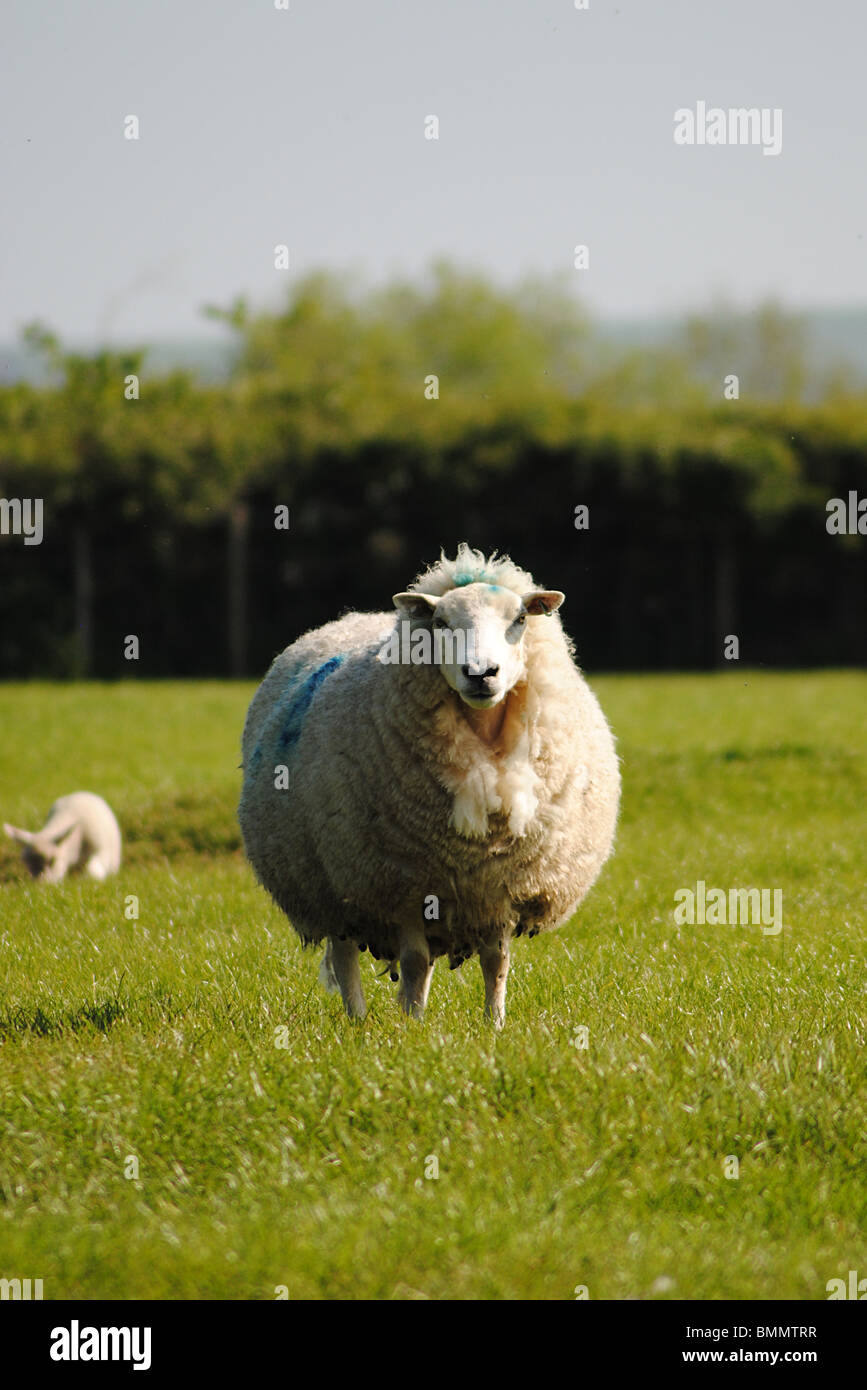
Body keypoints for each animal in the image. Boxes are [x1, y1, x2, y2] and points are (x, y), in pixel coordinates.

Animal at [238, 545, 620, 1026]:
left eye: (520, 619)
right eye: (441, 623)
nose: (481, 672)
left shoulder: (497, 887)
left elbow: (496, 963)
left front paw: (494, 1025)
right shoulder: (400, 884)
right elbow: (415, 962)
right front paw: (414, 1027)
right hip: (334, 884)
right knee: (346, 958)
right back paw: (358, 1020)